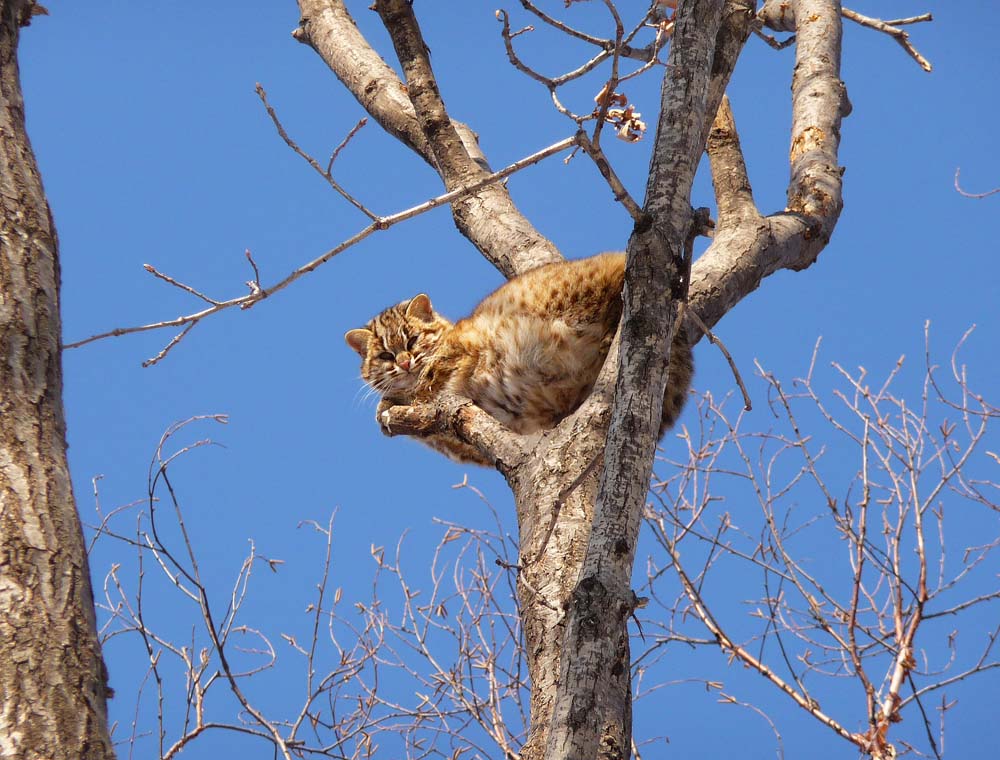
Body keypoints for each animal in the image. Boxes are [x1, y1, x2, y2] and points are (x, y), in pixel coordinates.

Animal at [346, 252, 696, 466]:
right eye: (385, 354)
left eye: (413, 340)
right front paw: (388, 405)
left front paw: (405, 395)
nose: (404, 362)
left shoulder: (463, 346)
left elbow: (432, 376)